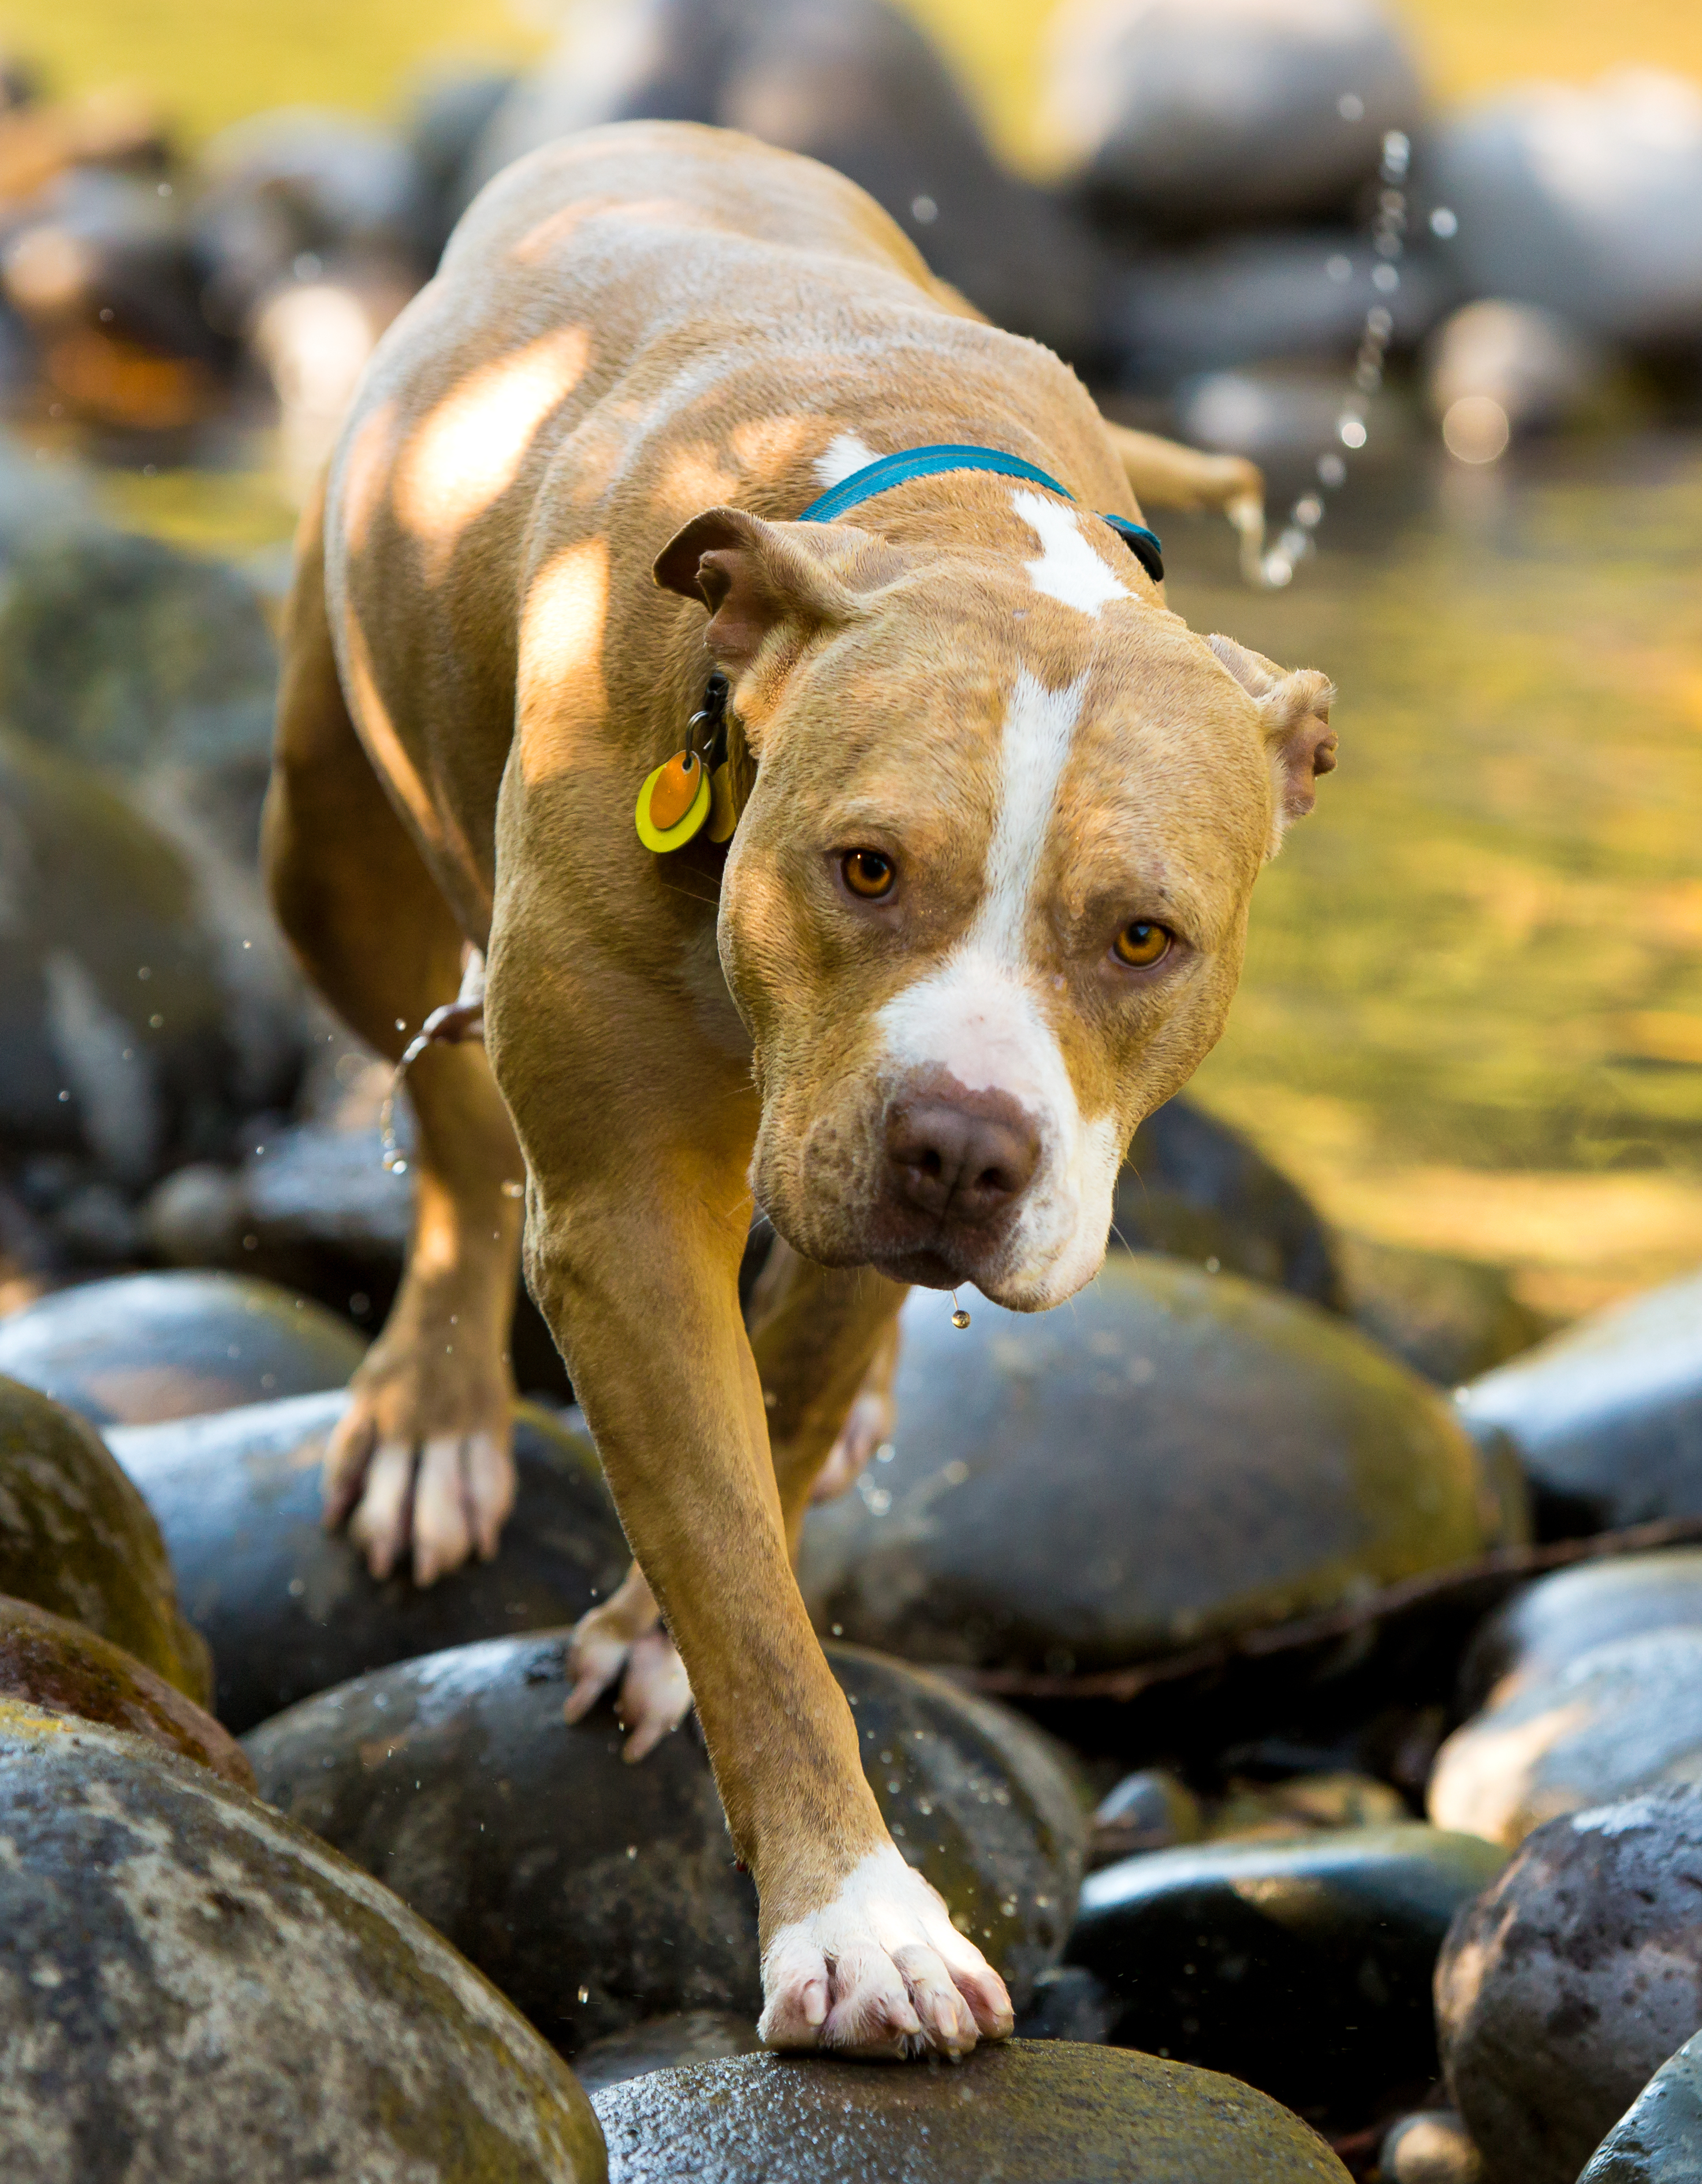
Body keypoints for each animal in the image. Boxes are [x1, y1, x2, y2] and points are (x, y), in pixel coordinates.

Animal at [266, 120, 1337, 2062]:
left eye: (1142, 936)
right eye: (864, 866)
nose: (962, 1152)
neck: (935, 516)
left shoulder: (847, 1158)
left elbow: (781, 1395)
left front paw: (658, 1612)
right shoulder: (626, 1210)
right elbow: (745, 1581)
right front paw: (859, 1923)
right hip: (324, 834)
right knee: (451, 1137)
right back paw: (437, 1414)